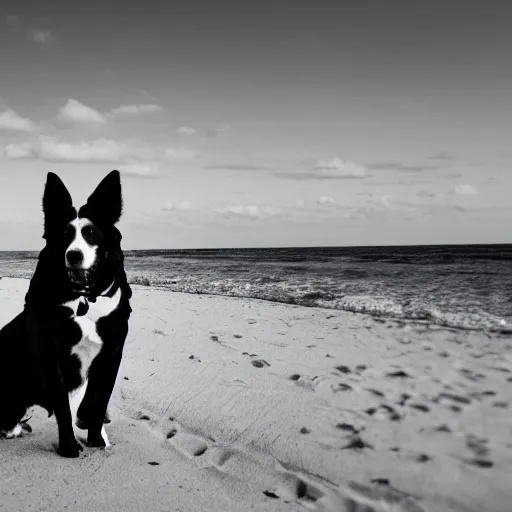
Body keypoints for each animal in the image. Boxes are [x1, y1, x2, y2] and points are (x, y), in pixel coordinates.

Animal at [0, 170, 132, 458]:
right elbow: (62, 407)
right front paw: (69, 448)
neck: (83, 299)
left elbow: (97, 402)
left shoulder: (111, 356)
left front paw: (96, 439)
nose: (73, 255)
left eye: (91, 233)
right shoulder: (52, 357)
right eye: (63, 234)